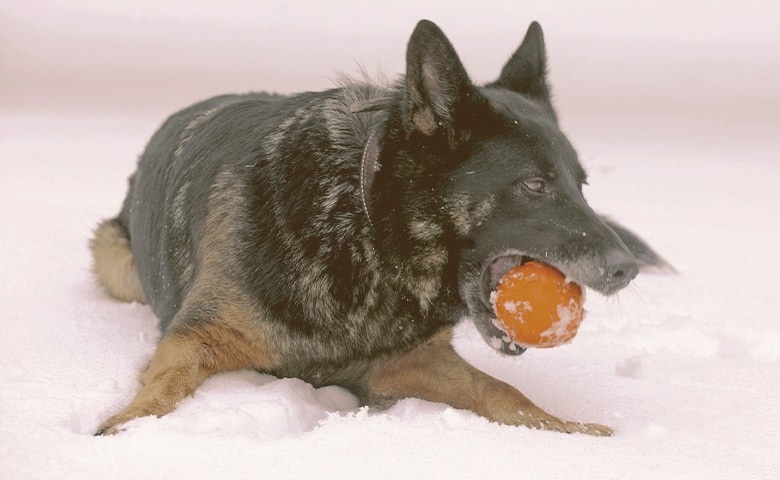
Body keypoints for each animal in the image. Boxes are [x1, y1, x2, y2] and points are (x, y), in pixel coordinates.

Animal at [90, 20, 664, 436]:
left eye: (582, 185)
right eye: (535, 186)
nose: (626, 270)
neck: (366, 232)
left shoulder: (407, 365)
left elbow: (503, 392)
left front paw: (574, 432)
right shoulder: (193, 338)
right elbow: (165, 386)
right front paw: (127, 427)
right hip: (113, 260)